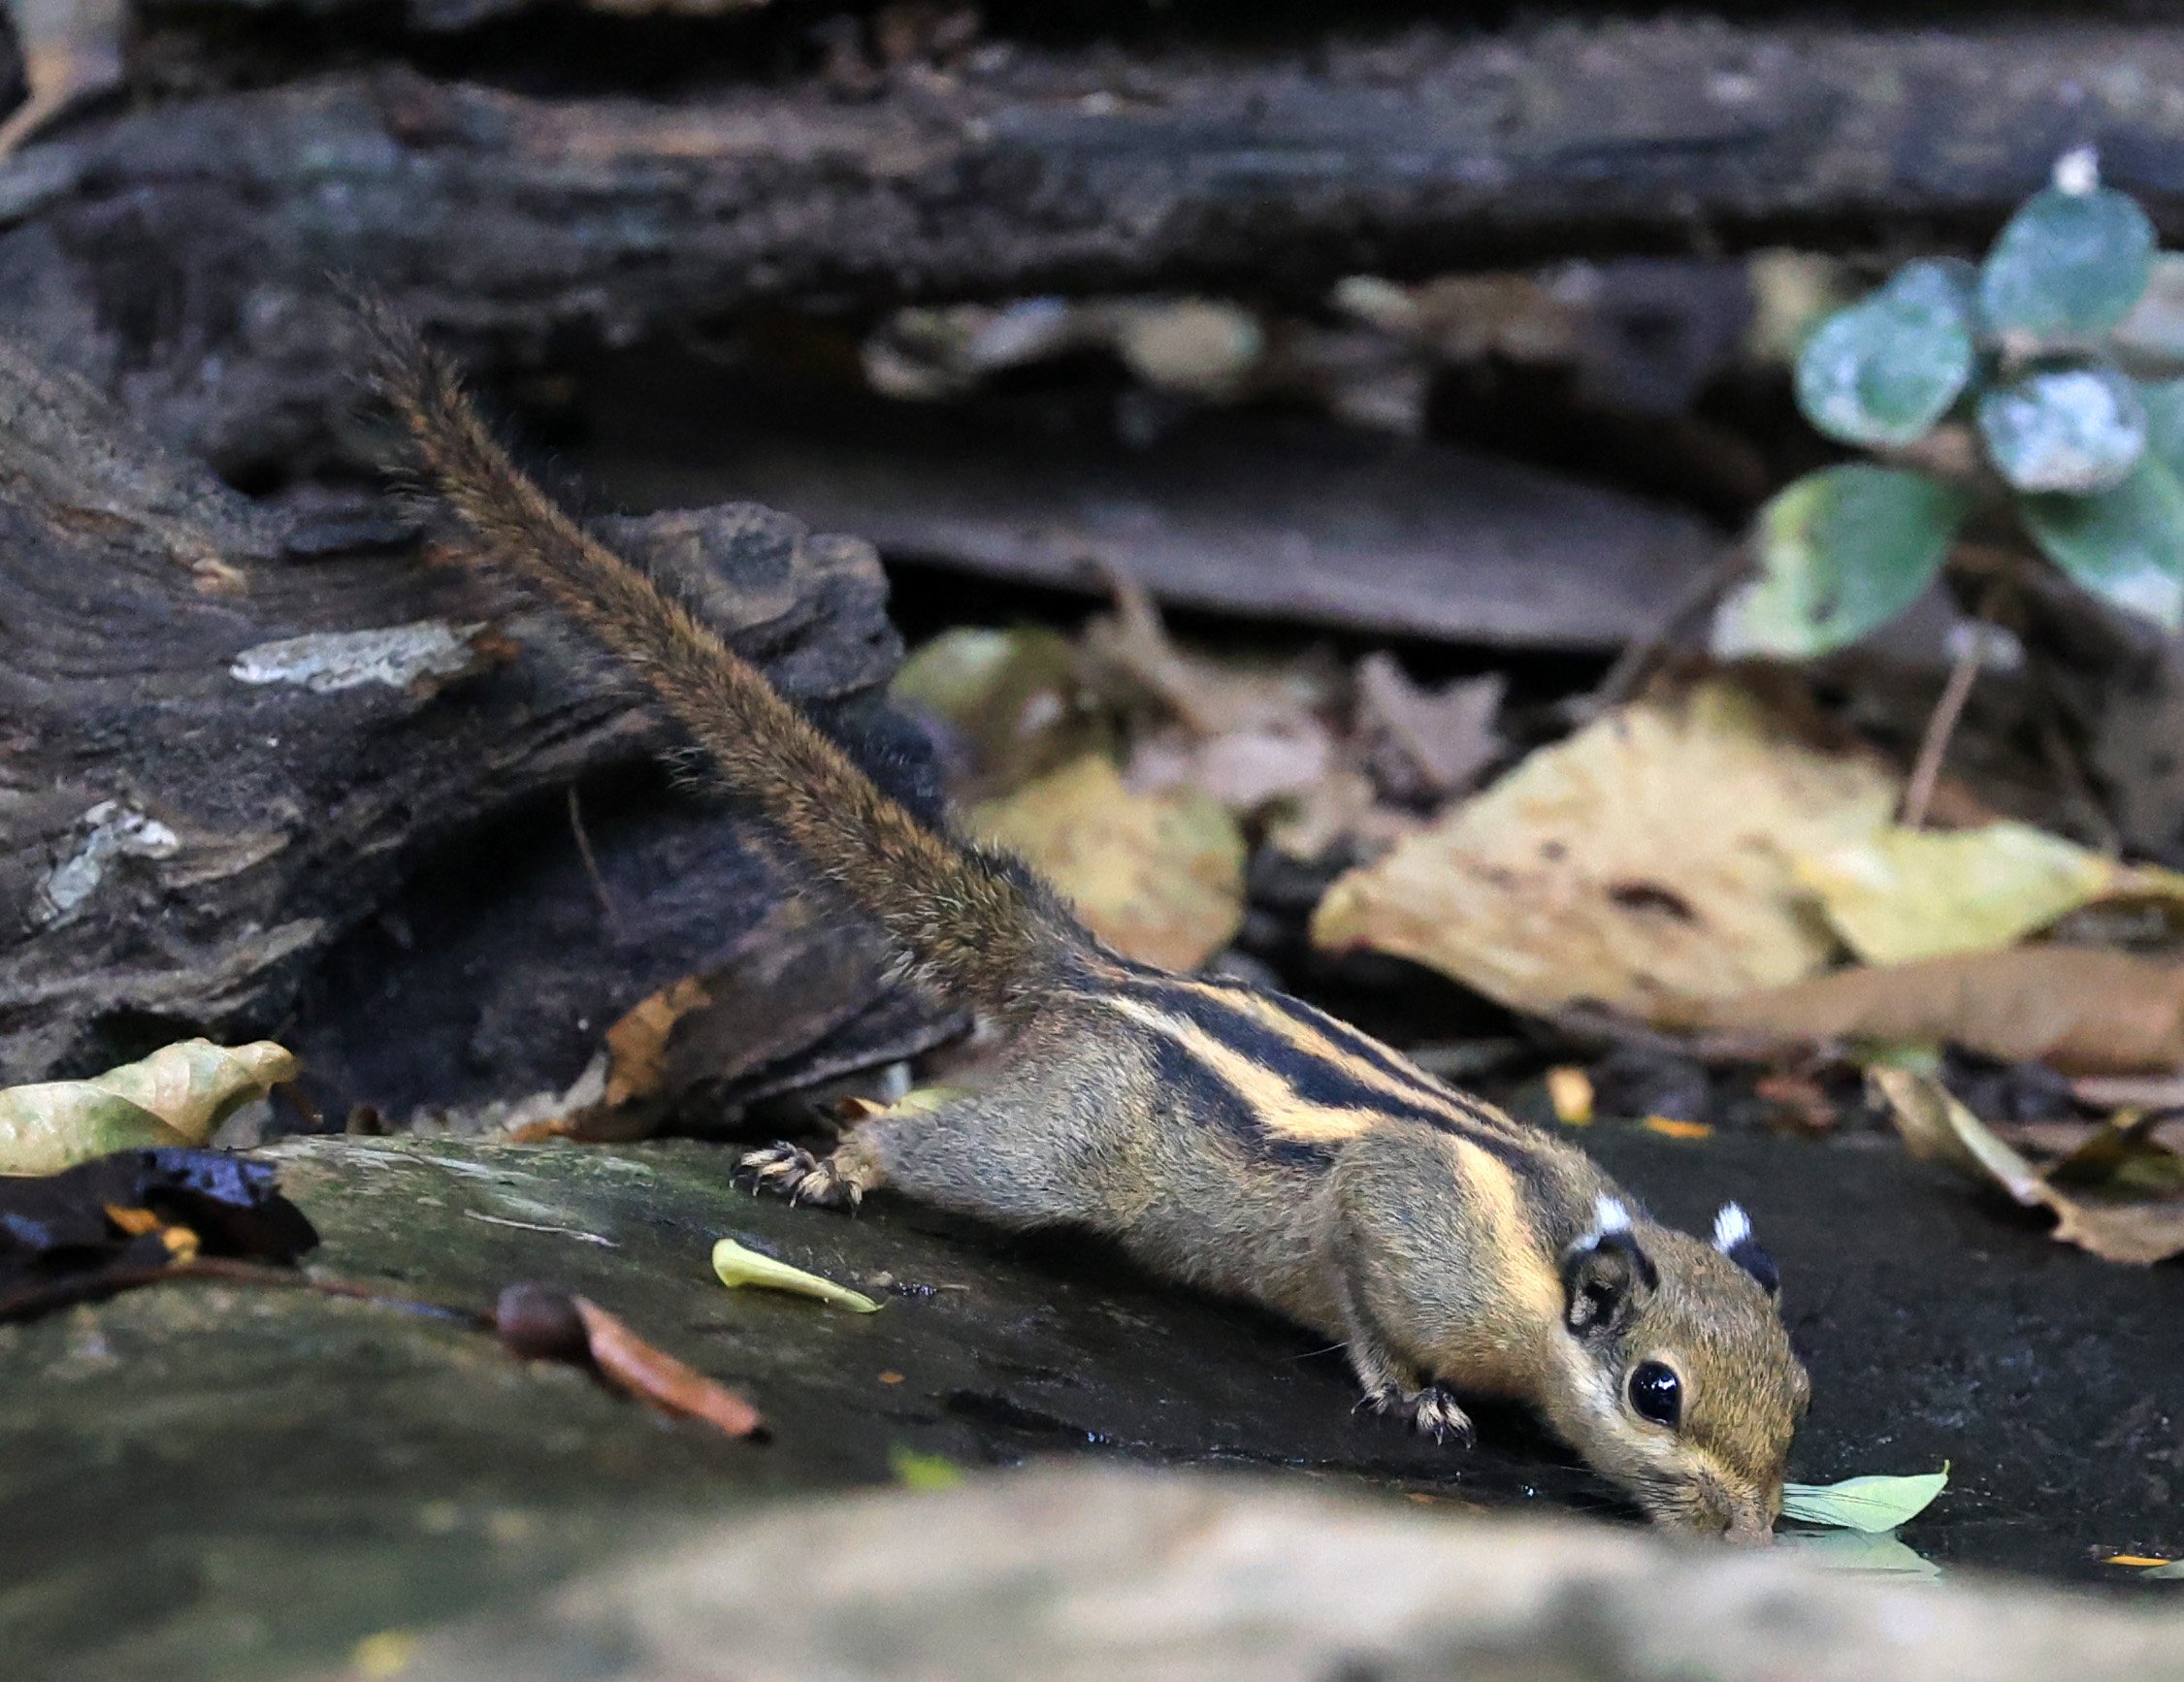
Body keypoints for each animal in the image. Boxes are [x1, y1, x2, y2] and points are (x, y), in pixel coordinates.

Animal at [362, 309, 1810, 1541]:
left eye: (1797, 1391)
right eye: (1658, 1392)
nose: (1746, 1535)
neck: (1545, 1254)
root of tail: (1106, 976)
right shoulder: (1394, 1223)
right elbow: (1356, 1289)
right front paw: (1408, 1389)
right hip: (1057, 1150)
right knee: (935, 1138)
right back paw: (839, 1163)